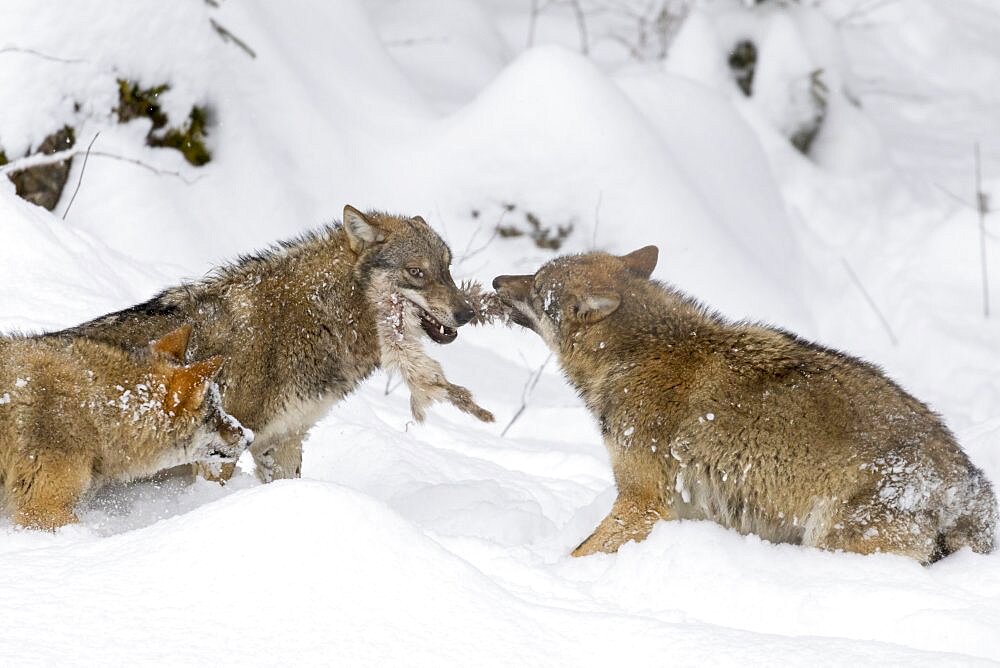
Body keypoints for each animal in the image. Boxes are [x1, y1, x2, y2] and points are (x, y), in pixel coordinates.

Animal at [55, 204, 492, 480]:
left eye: (447, 268)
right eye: (416, 272)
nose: (467, 313)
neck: (319, 314)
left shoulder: (283, 440)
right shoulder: (220, 449)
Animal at [496, 245, 996, 564]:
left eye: (536, 285)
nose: (498, 280)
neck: (636, 355)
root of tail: (966, 482)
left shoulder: (641, 502)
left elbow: (579, 553)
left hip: (831, 539)